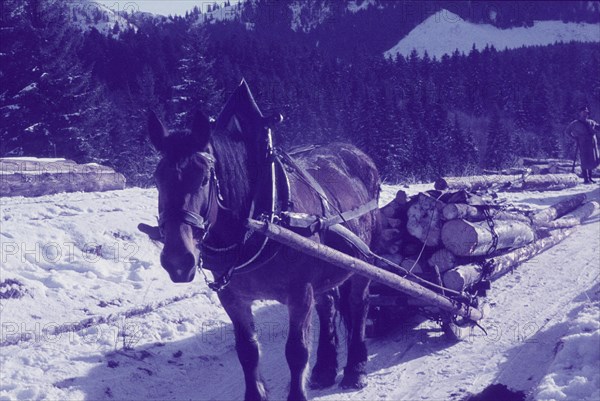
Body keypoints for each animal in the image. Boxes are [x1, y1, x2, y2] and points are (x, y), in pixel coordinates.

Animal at [146, 80, 380, 400]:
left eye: (204, 178)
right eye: (157, 179)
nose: (178, 261)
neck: (261, 220)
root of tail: (358, 153)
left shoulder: (300, 294)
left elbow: (296, 352)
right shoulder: (233, 298)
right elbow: (248, 352)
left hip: (362, 262)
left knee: (359, 305)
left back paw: (355, 368)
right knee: (328, 306)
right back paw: (324, 369)